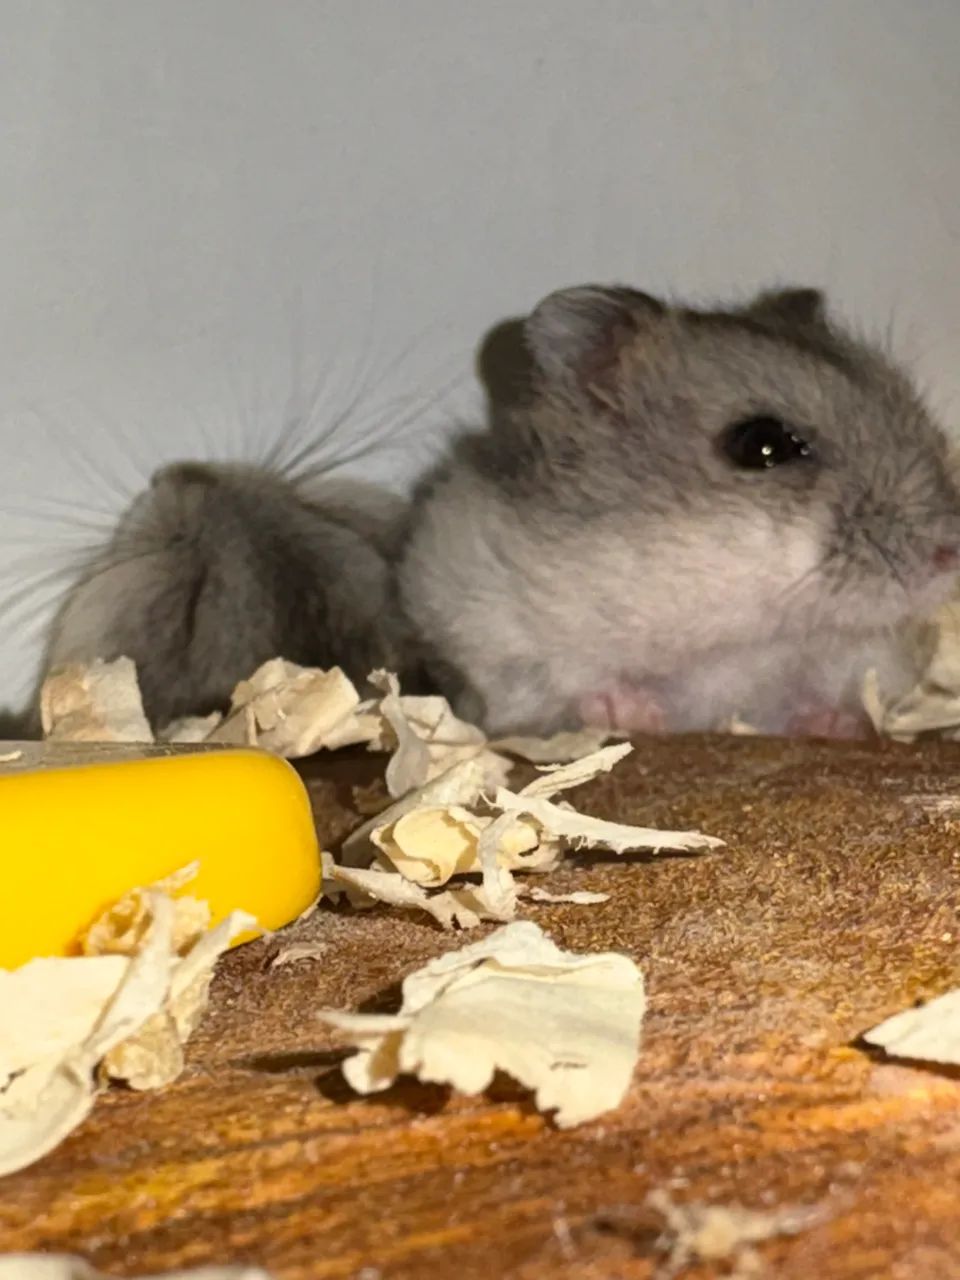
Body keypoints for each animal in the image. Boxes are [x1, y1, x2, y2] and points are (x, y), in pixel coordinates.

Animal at [397, 285, 960, 737]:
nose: (949, 556)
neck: (740, 635)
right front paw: (632, 713)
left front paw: (837, 724)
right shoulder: (486, 623)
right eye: (762, 445)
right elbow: (568, 683)